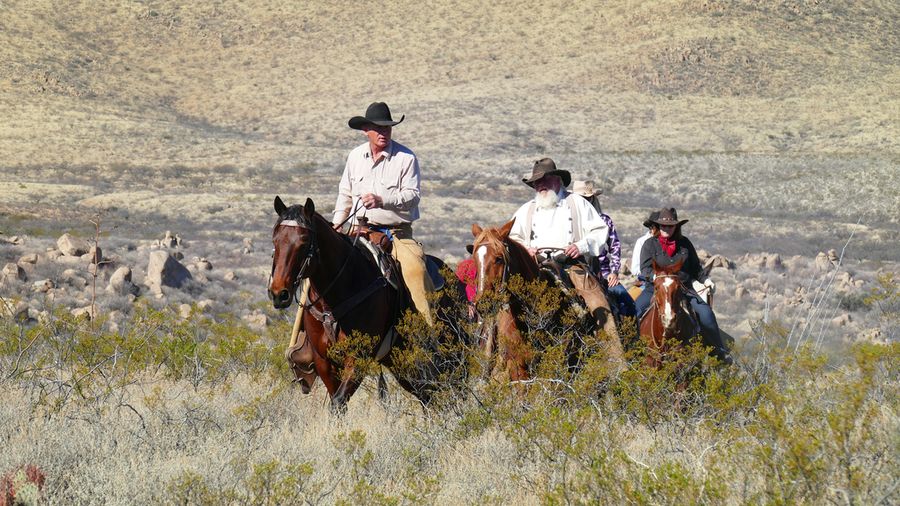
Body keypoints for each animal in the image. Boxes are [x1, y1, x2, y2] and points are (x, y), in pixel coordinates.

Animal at [268, 195, 464, 412]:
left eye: (303, 242)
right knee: (427, 395)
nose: (279, 293)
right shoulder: (323, 360)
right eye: (275, 240)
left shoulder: (358, 356)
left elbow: (338, 401)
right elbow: (336, 400)